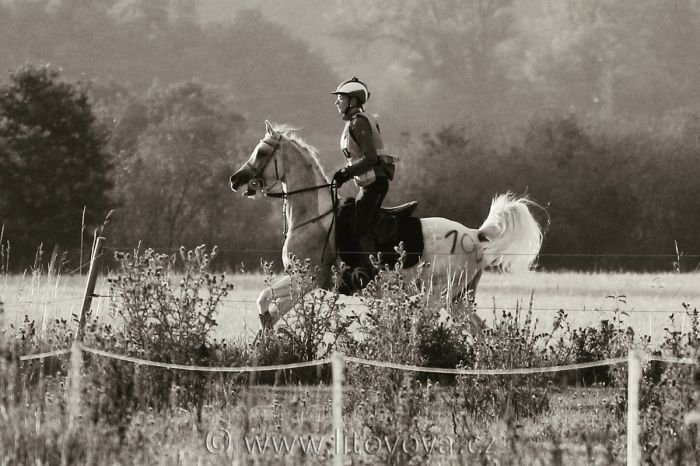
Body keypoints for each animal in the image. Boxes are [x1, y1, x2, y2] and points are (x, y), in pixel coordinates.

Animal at [230, 122, 540, 330]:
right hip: (458, 299)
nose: (235, 180)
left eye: (260, 152)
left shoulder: (305, 281)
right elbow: (269, 308)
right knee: (481, 332)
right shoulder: (302, 283)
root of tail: (475, 236)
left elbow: (263, 299)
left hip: (437, 295)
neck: (314, 218)